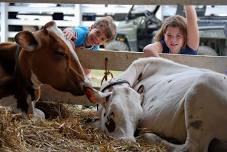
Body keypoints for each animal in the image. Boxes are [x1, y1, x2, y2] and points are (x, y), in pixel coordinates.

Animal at [95, 57, 227, 152]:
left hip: (201, 89)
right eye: (110, 117)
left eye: (139, 120)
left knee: (192, 147)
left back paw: (149, 136)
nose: (128, 142)